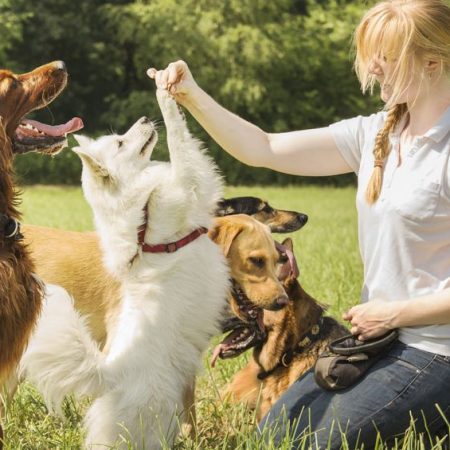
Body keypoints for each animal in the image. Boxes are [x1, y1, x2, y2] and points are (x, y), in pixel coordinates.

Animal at [19, 89, 230, 448]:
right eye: (120, 142)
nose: (144, 118)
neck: (143, 209)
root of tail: (109, 373)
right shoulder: (190, 182)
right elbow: (179, 139)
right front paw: (166, 96)